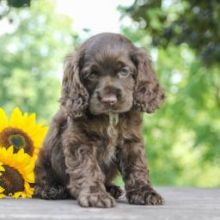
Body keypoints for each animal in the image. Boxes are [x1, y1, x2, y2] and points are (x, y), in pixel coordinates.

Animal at [34, 31, 165, 207]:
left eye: (124, 71)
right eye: (92, 74)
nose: (109, 100)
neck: (110, 118)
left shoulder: (131, 140)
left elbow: (136, 166)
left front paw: (144, 192)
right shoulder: (79, 140)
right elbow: (88, 168)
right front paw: (95, 196)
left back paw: (112, 189)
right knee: (40, 182)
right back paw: (52, 190)